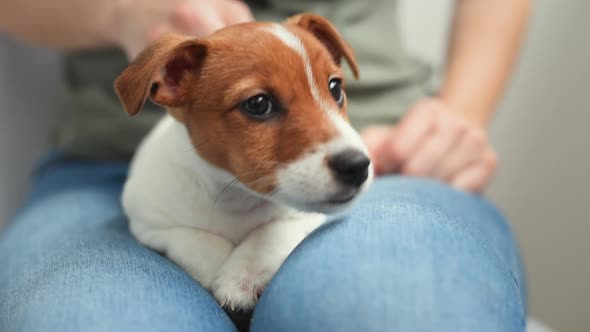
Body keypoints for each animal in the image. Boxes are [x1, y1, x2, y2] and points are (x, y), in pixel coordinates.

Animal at [114, 13, 374, 312]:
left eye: (335, 88)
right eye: (258, 104)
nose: (357, 166)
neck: (236, 199)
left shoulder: (306, 216)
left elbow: (269, 233)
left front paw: (241, 276)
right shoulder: (149, 224)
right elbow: (198, 241)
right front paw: (222, 272)